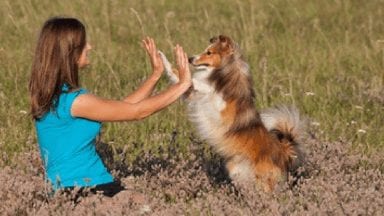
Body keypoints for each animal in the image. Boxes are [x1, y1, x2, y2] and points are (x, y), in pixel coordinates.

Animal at [159, 35, 306, 192]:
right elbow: (181, 78)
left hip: (263, 181)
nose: (190, 59)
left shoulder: (220, 109)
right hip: (238, 171)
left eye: (209, 52)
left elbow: (205, 87)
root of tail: (283, 150)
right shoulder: (194, 96)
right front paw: (163, 58)